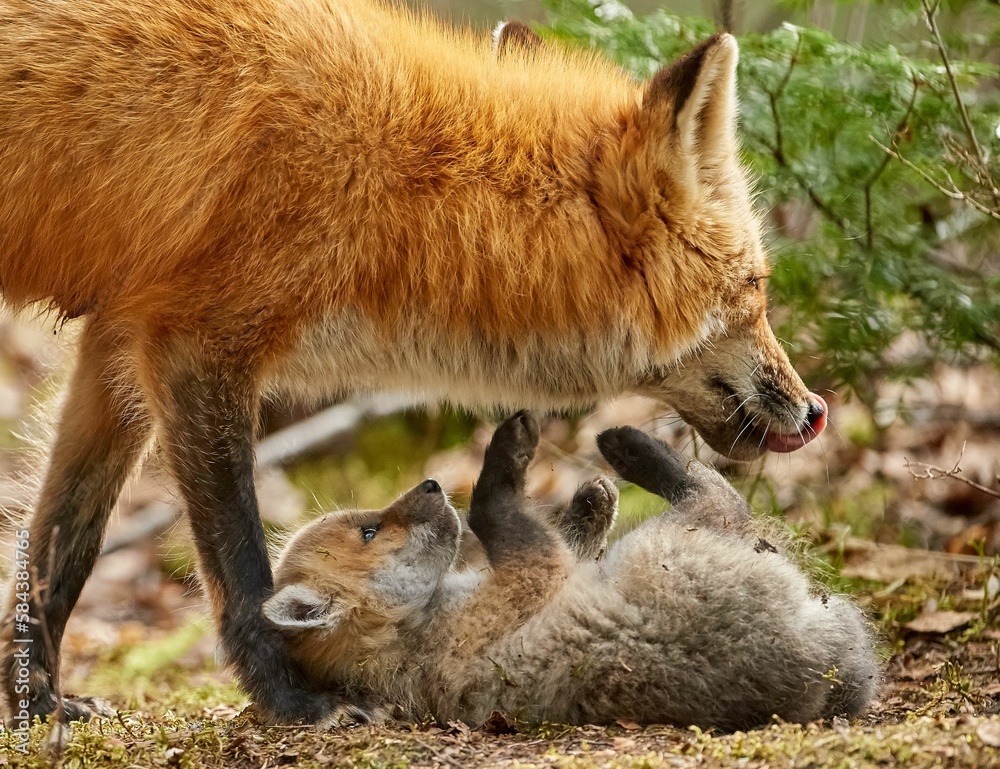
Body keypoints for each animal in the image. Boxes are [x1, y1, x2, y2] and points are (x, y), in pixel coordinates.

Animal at [265, 412, 878, 729]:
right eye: (370, 532)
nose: (433, 484)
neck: (409, 639)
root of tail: (820, 668)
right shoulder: (530, 576)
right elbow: (493, 510)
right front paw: (508, 450)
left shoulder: (553, 570)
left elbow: (568, 538)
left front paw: (588, 505)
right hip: (669, 540)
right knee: (716, 494)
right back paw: (630, 447)